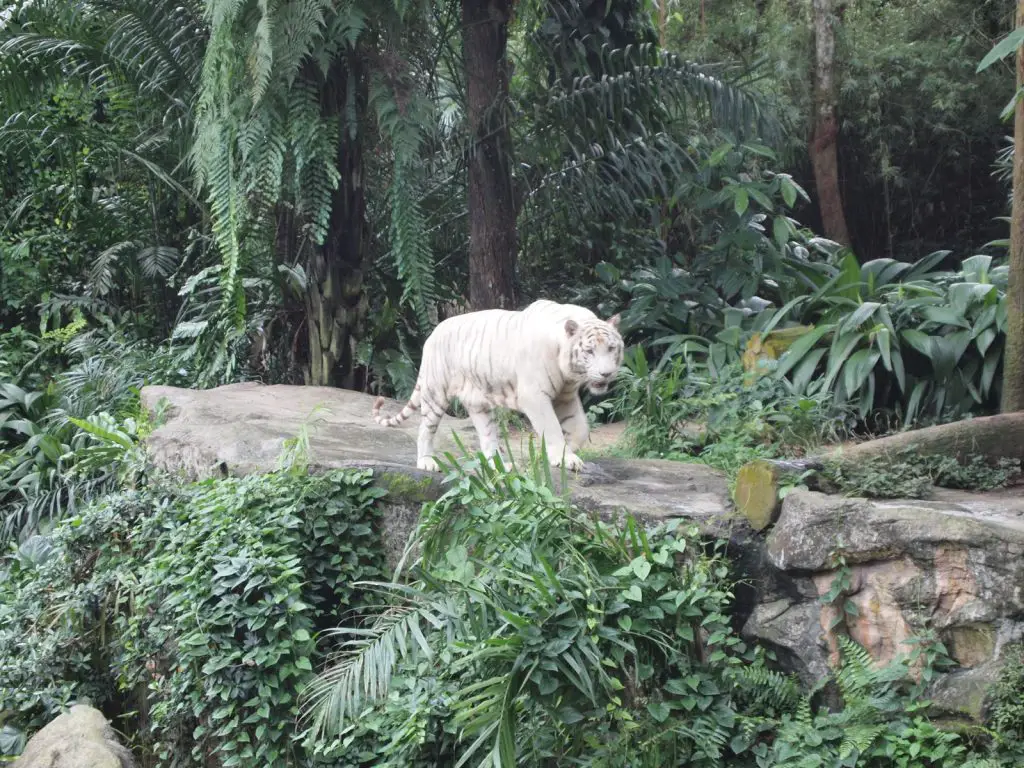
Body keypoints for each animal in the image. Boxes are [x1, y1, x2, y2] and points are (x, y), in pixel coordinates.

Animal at [370, 303, 622, 475]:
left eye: (611, 348)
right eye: (589, 351)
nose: (606, 374)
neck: (569, 374)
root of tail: (433, 333)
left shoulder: (565, 396)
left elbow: (580, 429)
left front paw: (563, 453)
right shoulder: (535, 396)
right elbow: (551, 428)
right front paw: (563, 457)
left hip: (479, 404)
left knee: (487, 437)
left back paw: (501, 466)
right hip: (436, 392)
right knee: (425, 429)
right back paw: (426, 462)